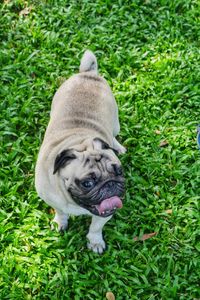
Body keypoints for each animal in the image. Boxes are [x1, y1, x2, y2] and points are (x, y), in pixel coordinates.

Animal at [34, 49, 125, 253]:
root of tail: (88, 74)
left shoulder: (105, 211)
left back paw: (118, 146)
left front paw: (95, 242)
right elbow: (60, 212)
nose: (111, 184)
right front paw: (60, 222)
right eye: (87, 183)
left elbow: (95, 228)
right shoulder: (53, 200)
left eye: (119, 171)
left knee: (113, 135)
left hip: (115, 122)